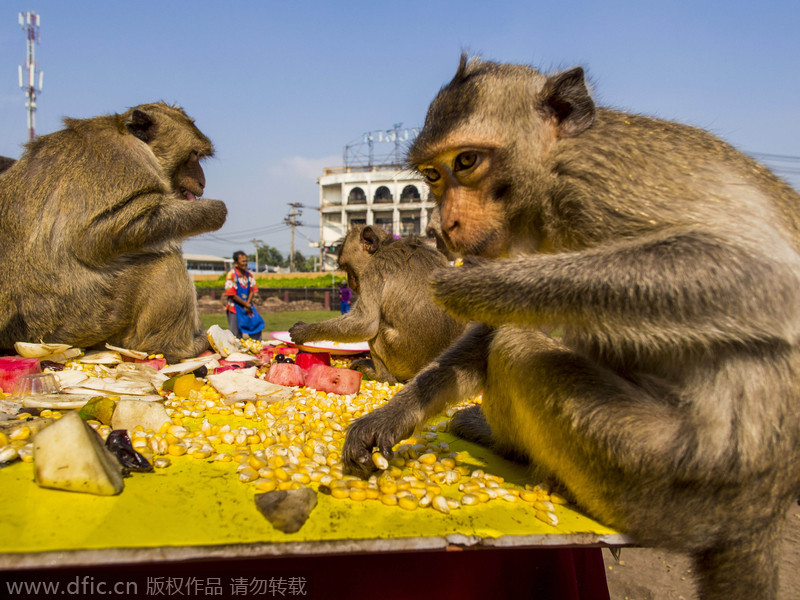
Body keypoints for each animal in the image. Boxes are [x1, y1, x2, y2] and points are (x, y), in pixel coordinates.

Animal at [0, 102, 228, 360]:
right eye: (193, 156)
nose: (202, 182)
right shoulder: (127, 162)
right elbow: (98, 235)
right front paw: (215, 210)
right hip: (84, 320)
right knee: (163, 259)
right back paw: (172, 348)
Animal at [290, 225, 466, 384]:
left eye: (347, 268)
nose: (350, 282)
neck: (384, 247)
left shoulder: (373, 271)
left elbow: (364, 324)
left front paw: (305, 331)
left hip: (399, 361)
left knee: (376, 328)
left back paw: (381, 376)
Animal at [340, 54, 800, 596]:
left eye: (467, 162)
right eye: (432, 174)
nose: (439, 226)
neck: (548, 180)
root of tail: (763, 513)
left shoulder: (597, 181)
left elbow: (764, 273)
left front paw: (481, 284)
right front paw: (392, 417)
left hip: (657, 475)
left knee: (518, 346)